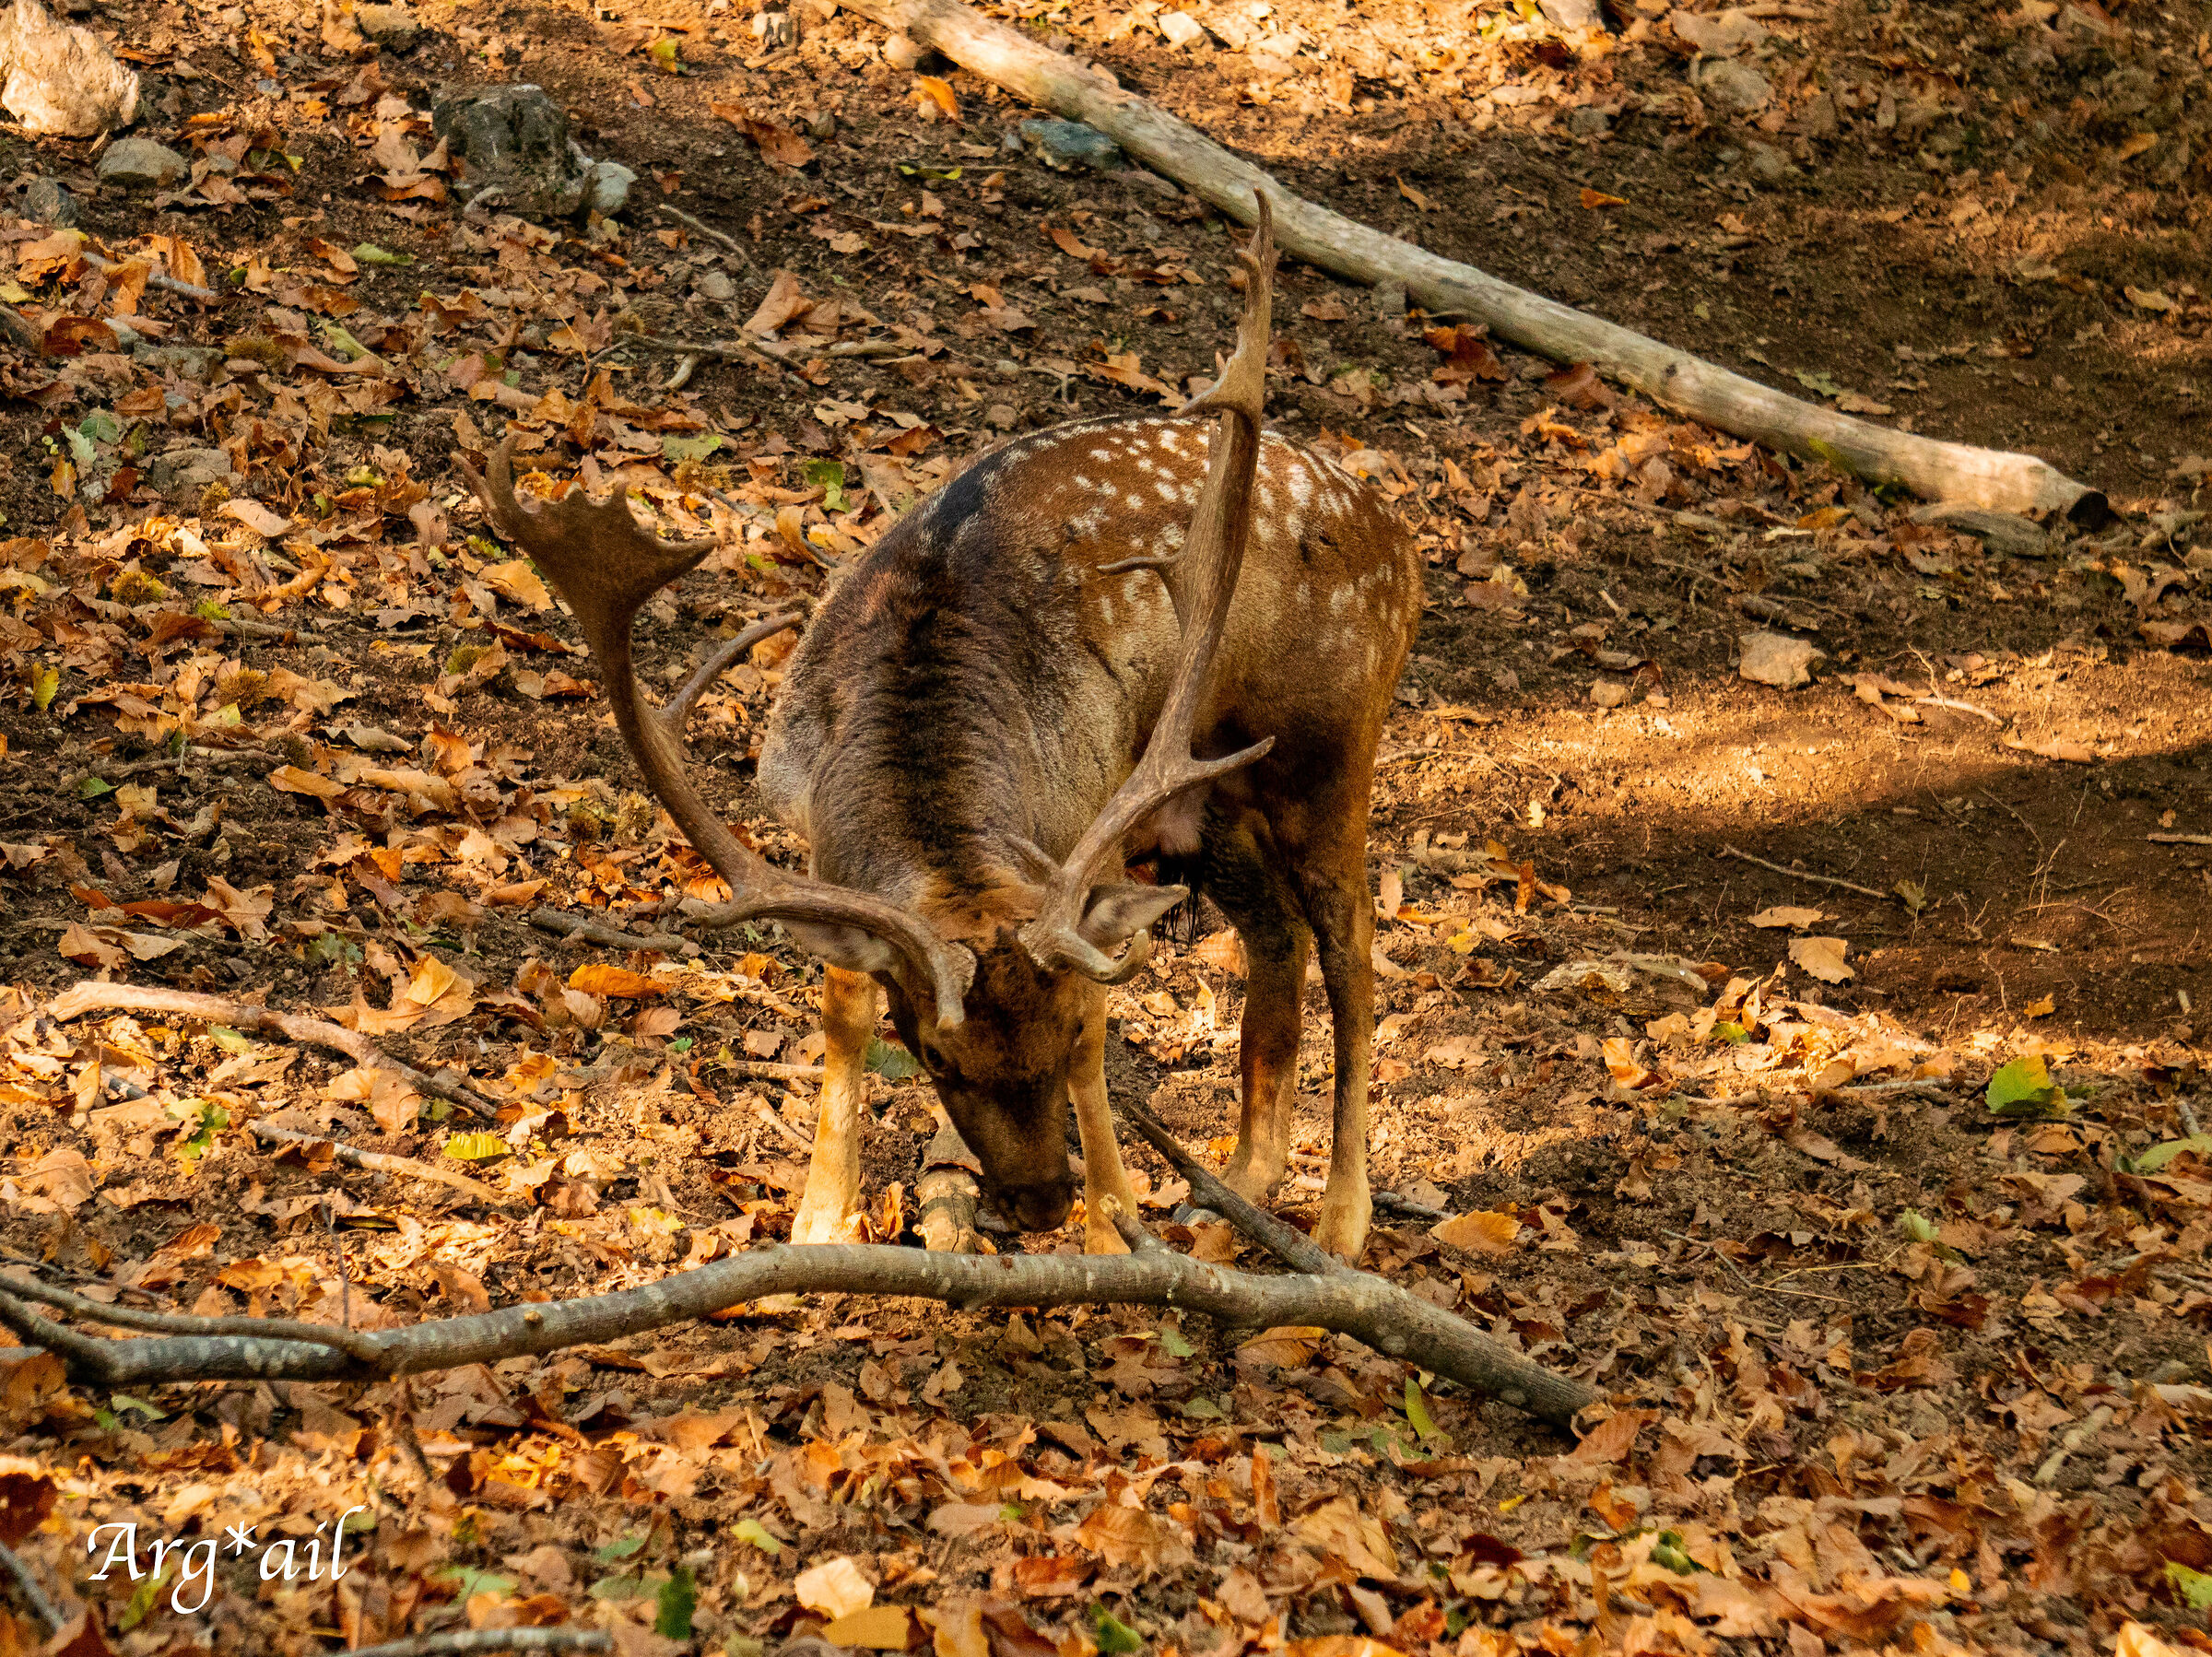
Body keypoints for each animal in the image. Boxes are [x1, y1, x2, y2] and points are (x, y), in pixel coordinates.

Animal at [460, 200, 1421, 1262]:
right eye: (935, 1056)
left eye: (1062, 1038)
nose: (1042, 1202)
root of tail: (1401, 533)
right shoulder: (819, 834)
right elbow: (840, 1004)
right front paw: (817, 1227)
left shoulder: (1079, 834)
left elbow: (1107, 1015)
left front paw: (1113, 1228)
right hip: (1210, 802)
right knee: (1275, 938)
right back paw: (1239, 1183)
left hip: (1331, 746)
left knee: (1355, 951)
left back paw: (1339, 1221)